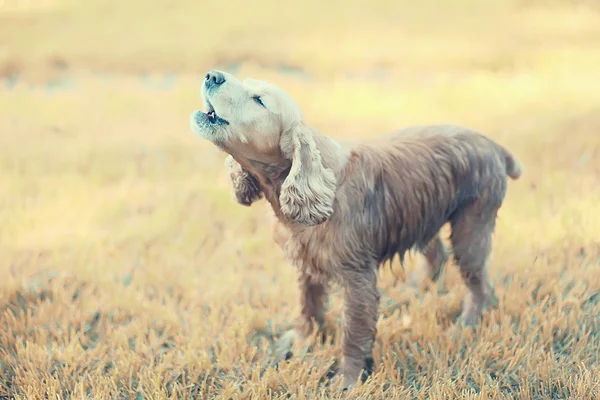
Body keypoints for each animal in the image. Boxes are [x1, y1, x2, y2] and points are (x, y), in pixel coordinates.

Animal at [189, 70, 520, 390]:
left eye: (259, 100)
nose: (212, 76)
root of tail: (494, 146)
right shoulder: (306, 267)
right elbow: (308, 307)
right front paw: (301, 342)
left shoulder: (357, 278)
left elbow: (354, 334)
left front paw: (346, 380)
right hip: (425, 213)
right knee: (435, 255)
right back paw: (413, 291)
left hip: (471, 230)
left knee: (480, 286)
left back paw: (465, 324)